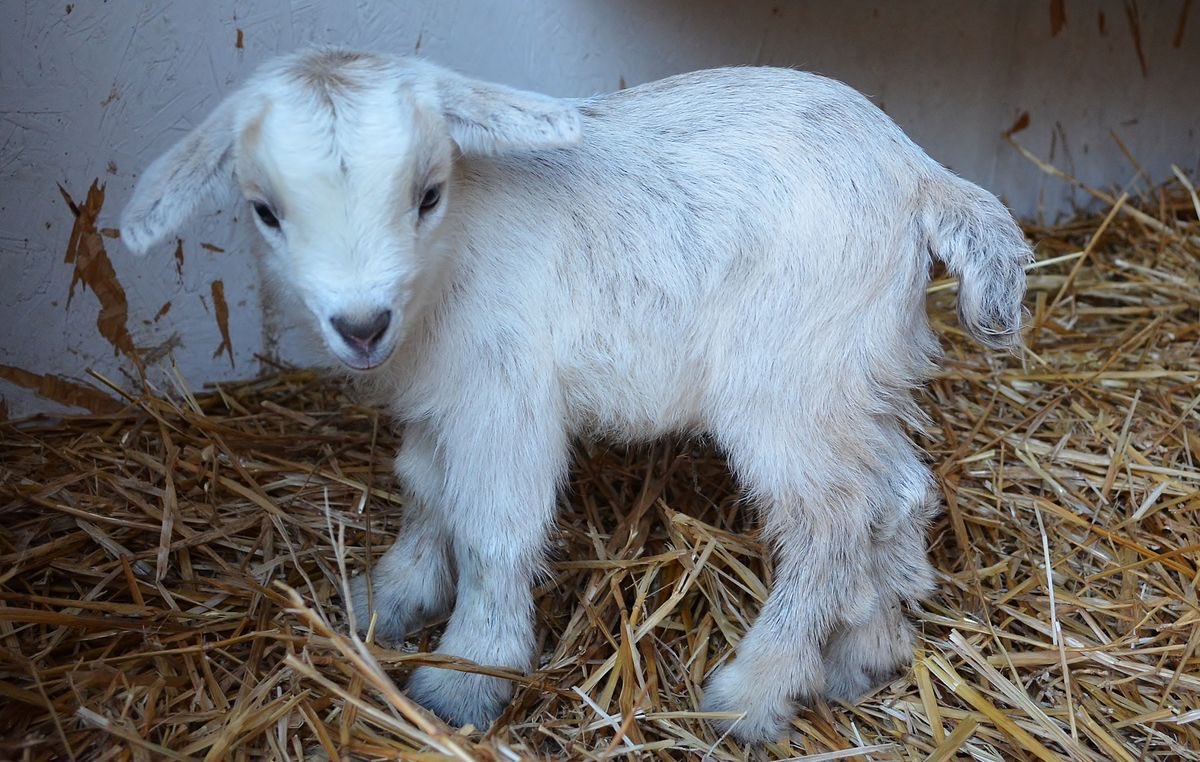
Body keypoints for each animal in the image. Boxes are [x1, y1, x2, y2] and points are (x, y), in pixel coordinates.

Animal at [120, 47, 1031, 743]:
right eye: (265, 211)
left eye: (427, 194)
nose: (361, 323)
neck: (447, 264)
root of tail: (917, 175)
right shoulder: (442, 398)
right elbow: (424, 487)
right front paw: (390, 597)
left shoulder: (506, 396)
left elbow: (493, 529)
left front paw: (466, 678)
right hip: (850, 371)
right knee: (897, 489)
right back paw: (867, 649)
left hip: (783, 380)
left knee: (833, 519)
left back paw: (752, 695)